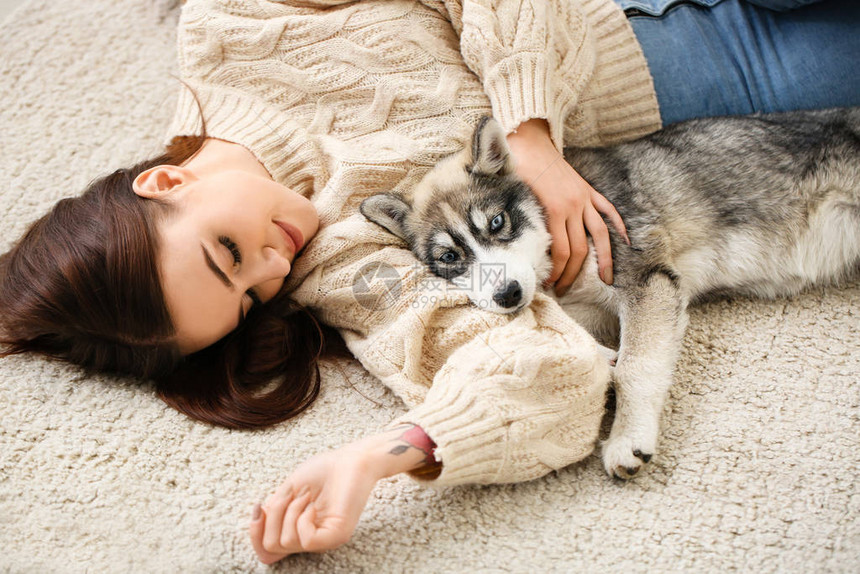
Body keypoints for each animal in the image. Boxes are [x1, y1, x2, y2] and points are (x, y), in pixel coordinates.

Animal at [362, 110, 860, 480]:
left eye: (498, 223)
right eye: (449, 257)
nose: (506, 295)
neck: (551, 242)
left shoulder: (646, 283)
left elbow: (636, 367)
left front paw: (628, 437)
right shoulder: (586, 306)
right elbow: (575, 334)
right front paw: (600, 354)